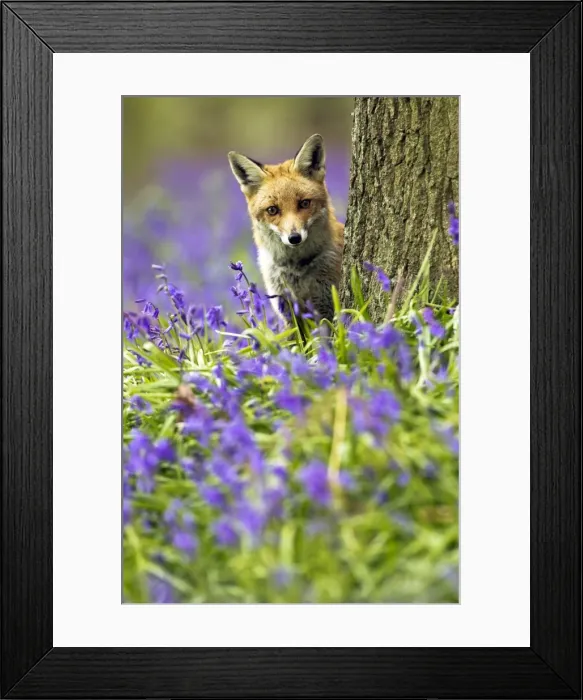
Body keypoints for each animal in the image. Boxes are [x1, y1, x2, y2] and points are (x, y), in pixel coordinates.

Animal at [228, 134, 344, 323]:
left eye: (304, 203)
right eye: (272, 210)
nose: (294, 238)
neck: (295, 269)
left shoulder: (327, 307)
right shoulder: (287, 312)